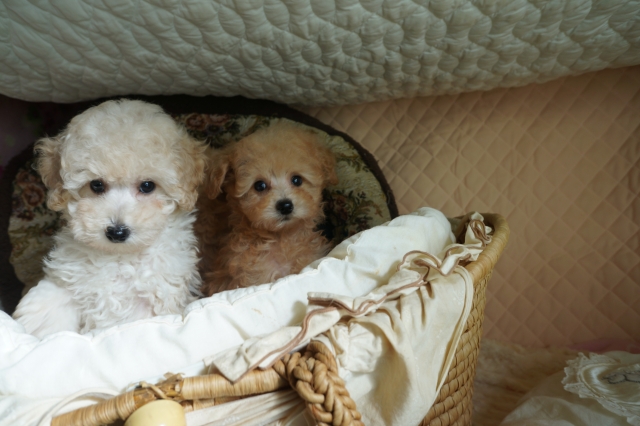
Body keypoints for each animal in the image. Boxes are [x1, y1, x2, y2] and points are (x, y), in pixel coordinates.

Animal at [12, 99, 206, 338]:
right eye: (96, 185)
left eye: (147, 186)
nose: (117, 232)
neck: (118, 258)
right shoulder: (71, 278)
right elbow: (52, 302)